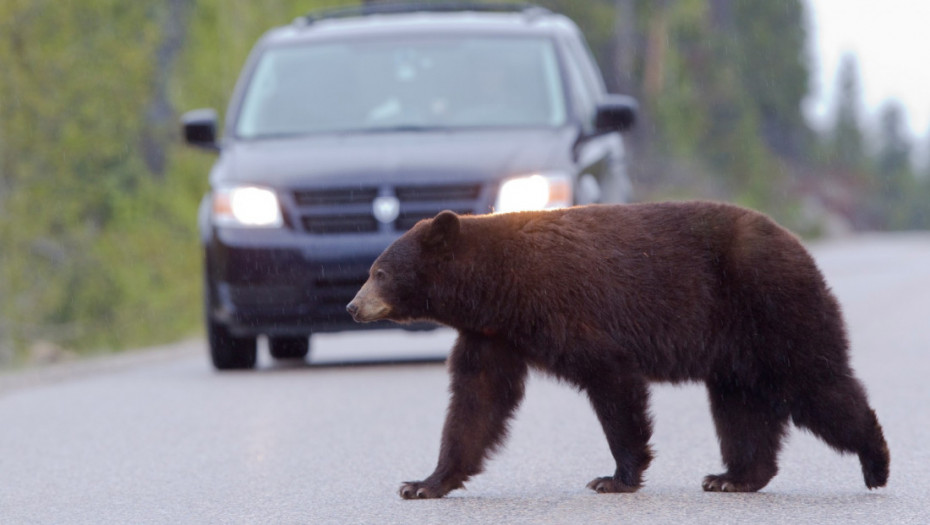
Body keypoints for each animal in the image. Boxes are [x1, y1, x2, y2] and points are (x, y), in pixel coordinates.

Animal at [344, 202, 888, 500]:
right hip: (738, 350)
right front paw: (424, 482)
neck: (499, 285)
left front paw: (616, 476)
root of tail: (799, 245)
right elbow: (476, 403)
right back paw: (734, 476)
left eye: (379, 272)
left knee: (818, 383)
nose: (352, 306)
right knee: (741, 408)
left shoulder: (569, 311)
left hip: (772, 306)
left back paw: (875, 461)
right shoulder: (494, 335)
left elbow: (612, 383)